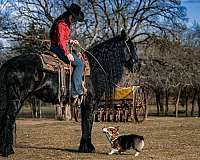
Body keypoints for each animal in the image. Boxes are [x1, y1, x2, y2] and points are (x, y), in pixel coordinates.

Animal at [0, 30, 139, 156]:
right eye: (131, 46)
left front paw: (84, 147)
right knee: (8, 118)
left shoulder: (84, 103)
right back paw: (7, 150)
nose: (137, 65)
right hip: (16, 98)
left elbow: (84, 123)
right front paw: (88, 148)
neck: (95, 67)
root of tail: (8, 64)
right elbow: (88, 122)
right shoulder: (91, 102)